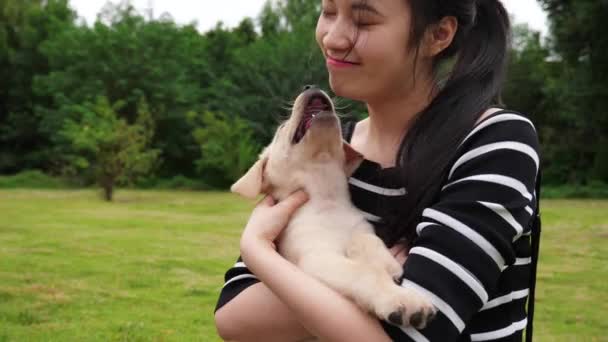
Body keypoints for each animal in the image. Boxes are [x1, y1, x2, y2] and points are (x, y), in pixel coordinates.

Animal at [230, 87, 434, 328]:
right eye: (281, 129)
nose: (310, 86)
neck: (327, 199)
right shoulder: (314, 258)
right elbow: (364, 271)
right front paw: (401, 298)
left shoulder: (359, 228)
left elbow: (366, 239)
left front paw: (386, 263)